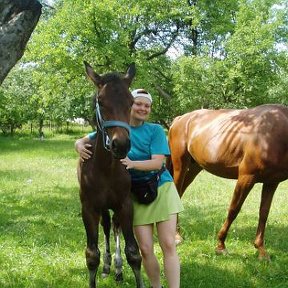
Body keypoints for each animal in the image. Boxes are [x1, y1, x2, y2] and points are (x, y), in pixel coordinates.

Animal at [77, 62, 144, 286]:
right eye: (100, 101)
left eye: (131, 102)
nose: (120, 145)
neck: (105, 169)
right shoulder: (89, 208)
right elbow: (91, 255)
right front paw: (101, 267)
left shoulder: (125, 205)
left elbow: (133, 252)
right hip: (102, 208)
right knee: (106, 227)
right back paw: (108, 266)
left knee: (114, 227)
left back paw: (117, 268)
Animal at [168, 104, 288, 260]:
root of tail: (180, 119)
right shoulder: (246, 177)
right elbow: (233, 209)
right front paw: (221, 246)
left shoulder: (271, 182)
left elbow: (264, 213)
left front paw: (261, 250)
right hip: (180, 165)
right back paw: (176, 236)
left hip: (194, 168)